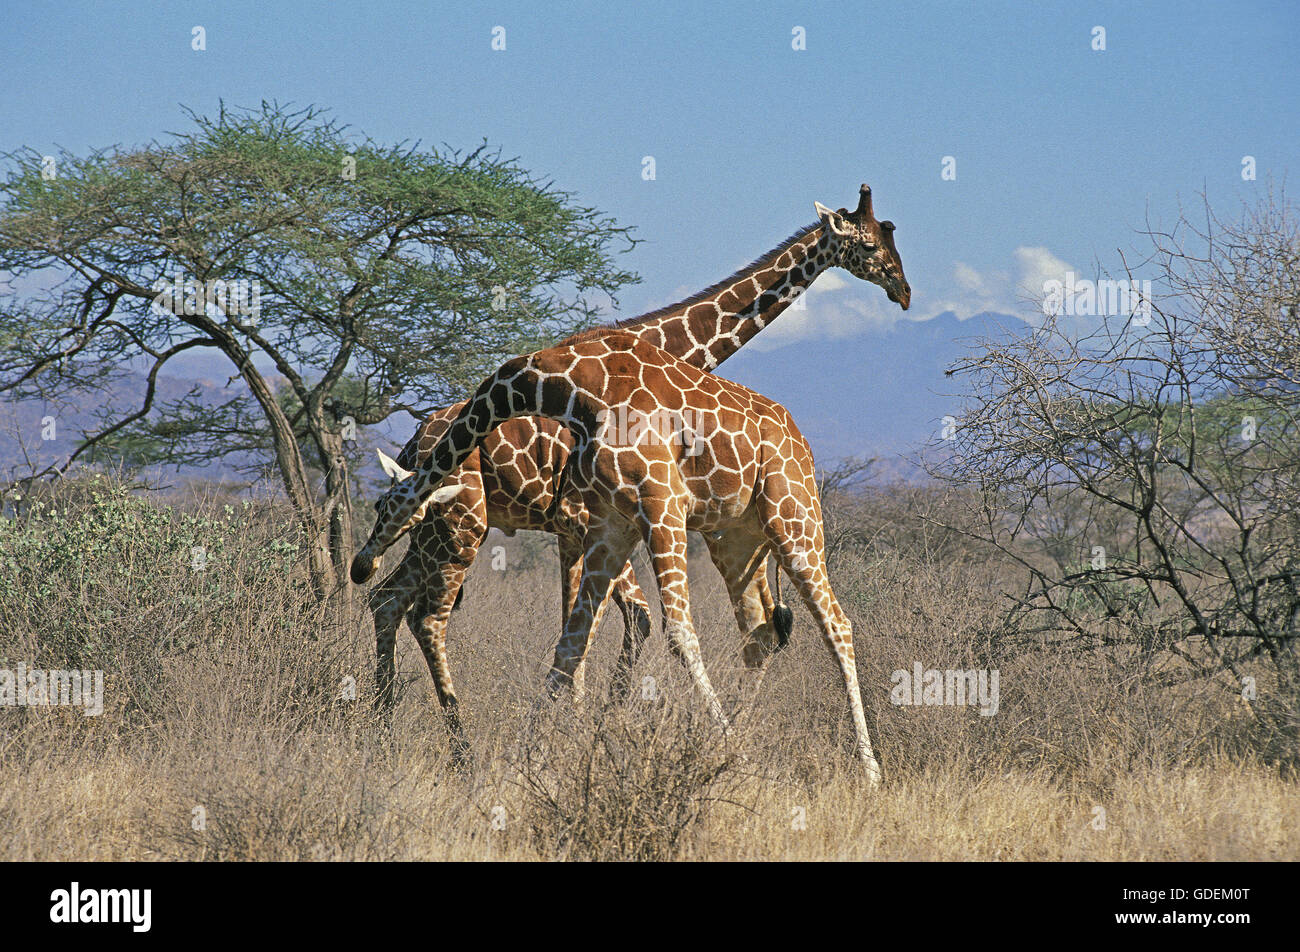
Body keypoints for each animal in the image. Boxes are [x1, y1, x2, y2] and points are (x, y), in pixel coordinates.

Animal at [351, 330, 889, 785]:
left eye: (379, 506)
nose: (360, 566)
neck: (572, 392)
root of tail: (800, 439)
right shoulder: (611, 523)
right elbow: (570, 646)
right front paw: (527, 760)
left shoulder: (662, 505)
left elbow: (679, 633)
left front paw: (736, 758)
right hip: (737, 539)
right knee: (758, 632)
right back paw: (755, 731)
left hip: (793, 518)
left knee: (836, 625)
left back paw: (869, 773)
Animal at [366, 184, 915, 749]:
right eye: (870, 246)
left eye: (887, 240)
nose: (904, 290)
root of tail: (415, 441)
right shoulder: (589, 521)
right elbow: (602, 628)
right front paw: (580, 729)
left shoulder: (592, 525)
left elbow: (604, 629)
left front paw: (586, 726)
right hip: (459, 527)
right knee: (417, 613)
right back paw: (433, 735)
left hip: (445, 530)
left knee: (394, 605)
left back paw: (396, 725)